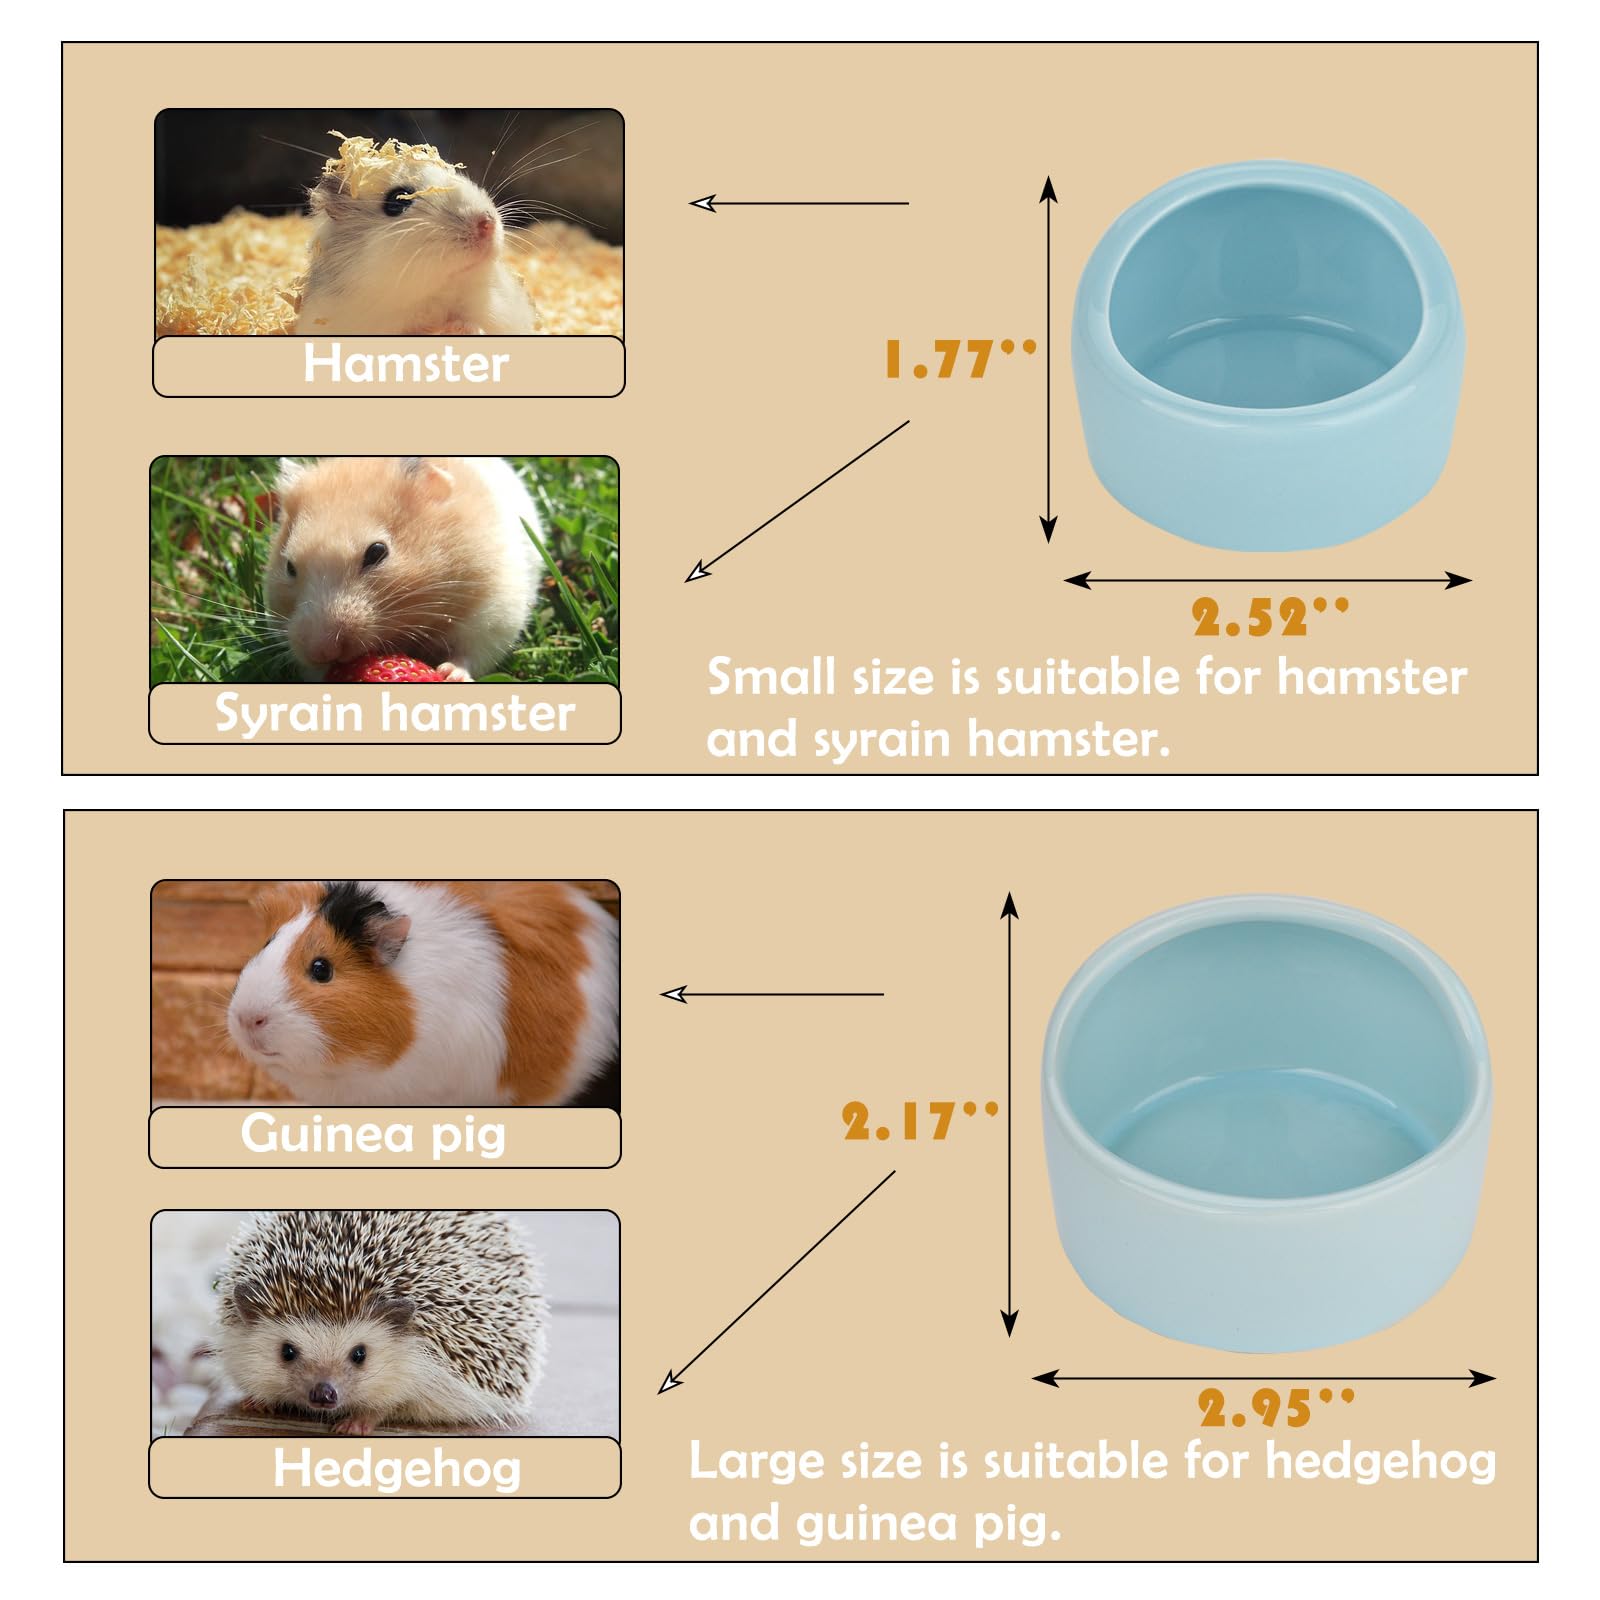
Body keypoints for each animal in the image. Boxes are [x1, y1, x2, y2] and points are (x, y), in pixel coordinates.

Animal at [267, 456, 542, 682]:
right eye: (289, 566)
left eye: (377, 552)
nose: (320, 652)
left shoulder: (493, 613)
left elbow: (471, 654)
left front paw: (449, 673)